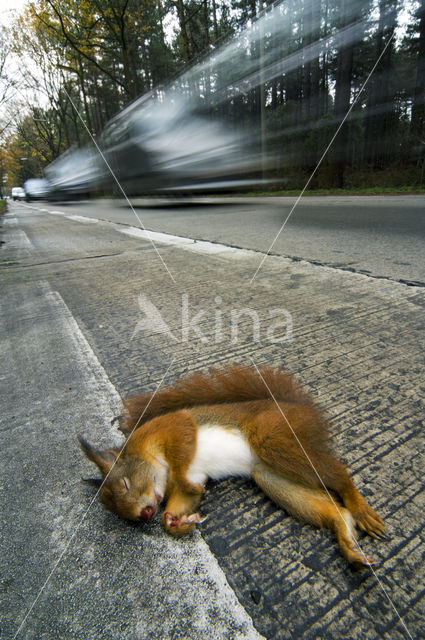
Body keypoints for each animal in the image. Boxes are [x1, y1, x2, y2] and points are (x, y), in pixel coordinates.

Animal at [79, 362, 384, 568]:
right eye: (121, 515)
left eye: (125, 482)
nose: (144, 514)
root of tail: (298, 408)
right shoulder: (190, 480)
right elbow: (183, 500)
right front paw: (177, 521)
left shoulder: (173, 427)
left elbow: (181, 451)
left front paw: (185, 491)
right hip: (271, 477)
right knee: (335, 512)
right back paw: (349, 543)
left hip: (273, 438)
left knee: (339, 474)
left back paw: (360, 509)